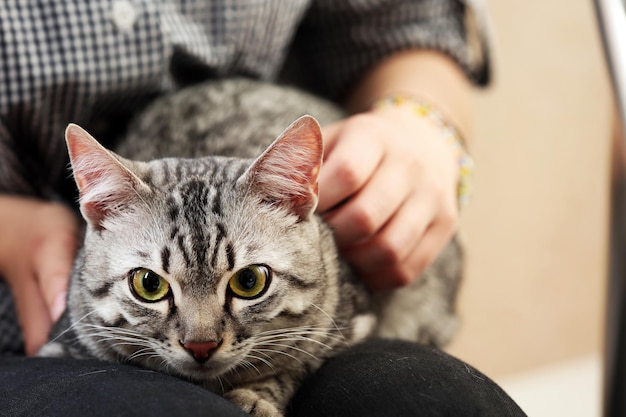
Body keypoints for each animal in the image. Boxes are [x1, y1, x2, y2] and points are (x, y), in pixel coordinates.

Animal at [39, 78, 458, 416]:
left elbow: (293, 365)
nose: (201, 346)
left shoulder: (349, 320)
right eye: (149, 284)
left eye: (250, 281)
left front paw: (255, 397)